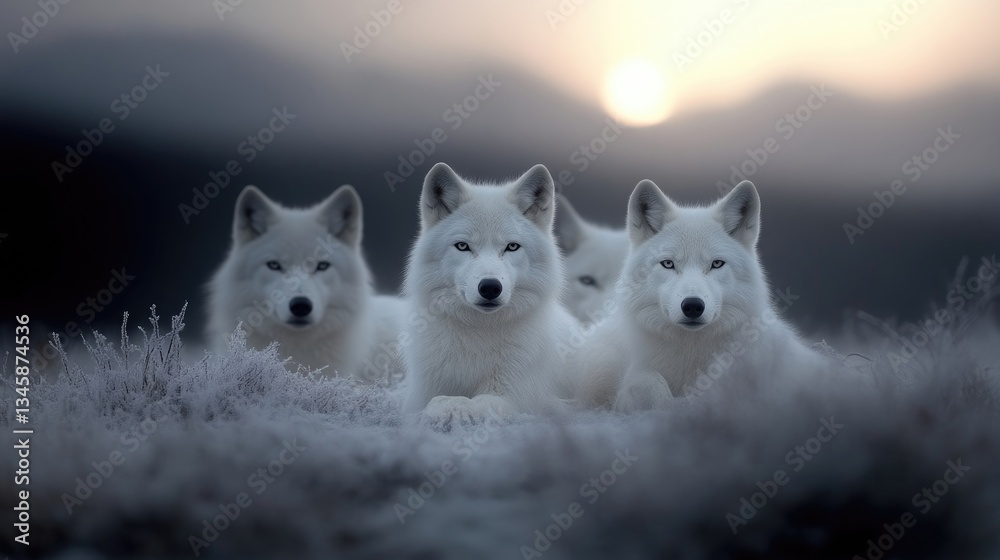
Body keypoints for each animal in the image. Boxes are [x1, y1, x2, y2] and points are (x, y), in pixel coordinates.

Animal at [401, 162, 580, 424]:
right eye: (463, 246)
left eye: (512, 246)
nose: (490, 287)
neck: (478, 335)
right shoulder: (421, 393)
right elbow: (435, 401)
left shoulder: (512, 396)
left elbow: (467, 402)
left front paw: (448, 409)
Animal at [578, 180, 821, 412]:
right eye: (668, 264)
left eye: (716, 264)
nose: (693, 306)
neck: (690, 354)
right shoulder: (638, 373)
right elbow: (649, 384)